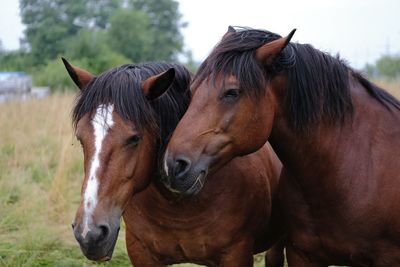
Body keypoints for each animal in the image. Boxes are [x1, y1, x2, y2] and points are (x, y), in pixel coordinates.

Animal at [61, 57, 284, 266]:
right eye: (81, 138)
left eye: (134, 138)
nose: (89, 233)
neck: (179, 203)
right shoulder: (141, 252)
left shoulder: (235, 254)